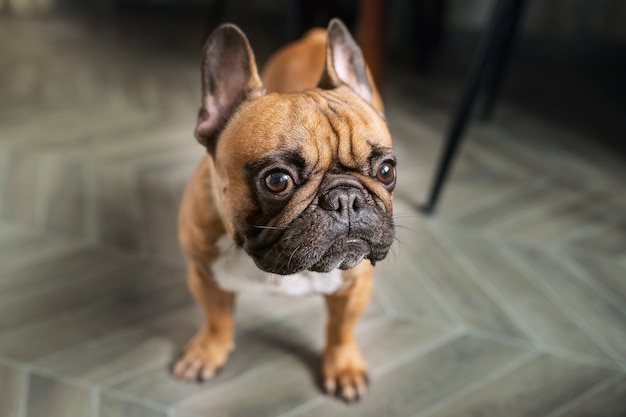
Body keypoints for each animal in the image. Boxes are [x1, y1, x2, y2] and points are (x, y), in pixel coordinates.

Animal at [173, 17, 392, 402]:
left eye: (386, 171)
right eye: (277, 180)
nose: (346, 198)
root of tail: (315, 36)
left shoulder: (355, 286)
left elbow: (341, 329)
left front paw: (344, 366)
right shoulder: (204, 275)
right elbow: (217, 318)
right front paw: (208, 351)